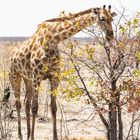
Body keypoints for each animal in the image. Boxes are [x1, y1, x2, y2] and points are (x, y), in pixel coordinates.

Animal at [9, 4, 117, 139]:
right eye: (102, 18)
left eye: (111, 19)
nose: (110, 35)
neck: (53, 39)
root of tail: (11, 54)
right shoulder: (36, 77)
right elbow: (35, 108)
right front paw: (32, 138)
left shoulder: (55, 77)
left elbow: (53, 107)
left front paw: (54, 136)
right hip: (14, 75)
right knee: (18, 104)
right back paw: (20, 135)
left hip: (26, 78)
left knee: (26, 103)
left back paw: (27, 133)